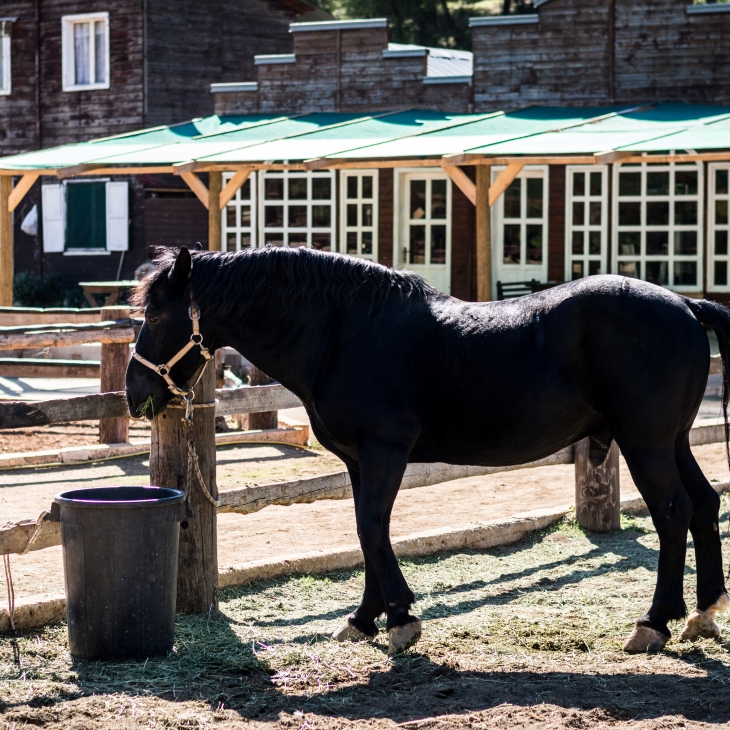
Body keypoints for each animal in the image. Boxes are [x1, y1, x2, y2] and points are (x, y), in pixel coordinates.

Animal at [128, 246, 728, 656]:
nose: (136, 394)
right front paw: (364, 618)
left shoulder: (385, 450)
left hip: (645, 443)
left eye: (155, 316)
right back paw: (703, 614)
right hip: (672, 441)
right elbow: (365, 529)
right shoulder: (358, 460)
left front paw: (399, 620)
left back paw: (654, 622)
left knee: (673, 512)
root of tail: (685, 305)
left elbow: (372, 526)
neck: (342, 331)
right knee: (704, 504)